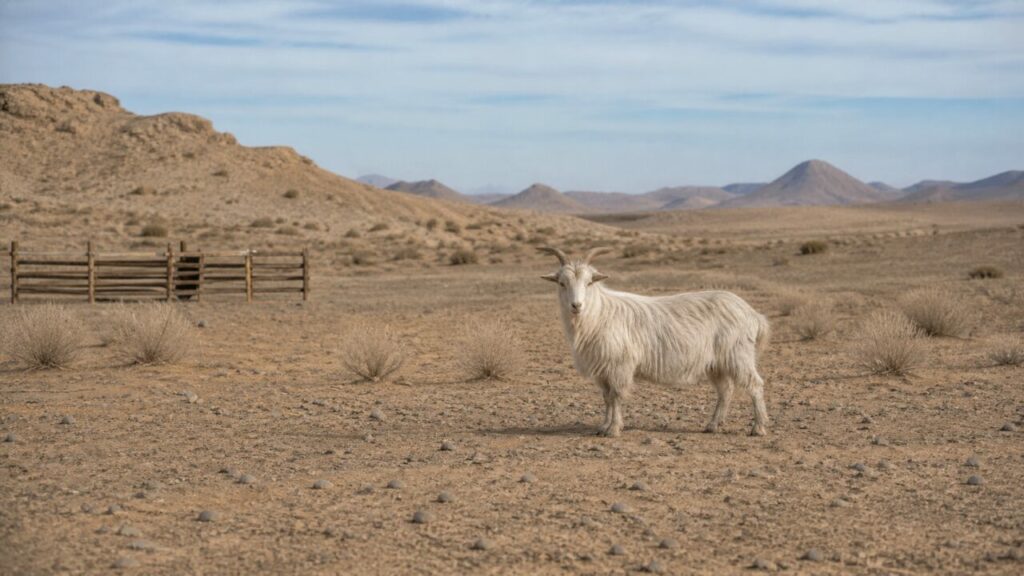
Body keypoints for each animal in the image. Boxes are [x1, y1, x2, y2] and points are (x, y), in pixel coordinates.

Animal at [539, 246, 770, 437]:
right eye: (562, 283)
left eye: (588, 283)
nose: (576, 305)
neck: (599, 314)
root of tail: (752, 314)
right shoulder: (603, 370)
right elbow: (606, 398)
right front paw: (603, 427)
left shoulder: (620, 366)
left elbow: (616, 396)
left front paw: (613, 429)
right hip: (717, 363)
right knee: (725, 391)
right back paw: (712, 425)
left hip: (738, 355)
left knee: (755, 385)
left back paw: (758, 428)